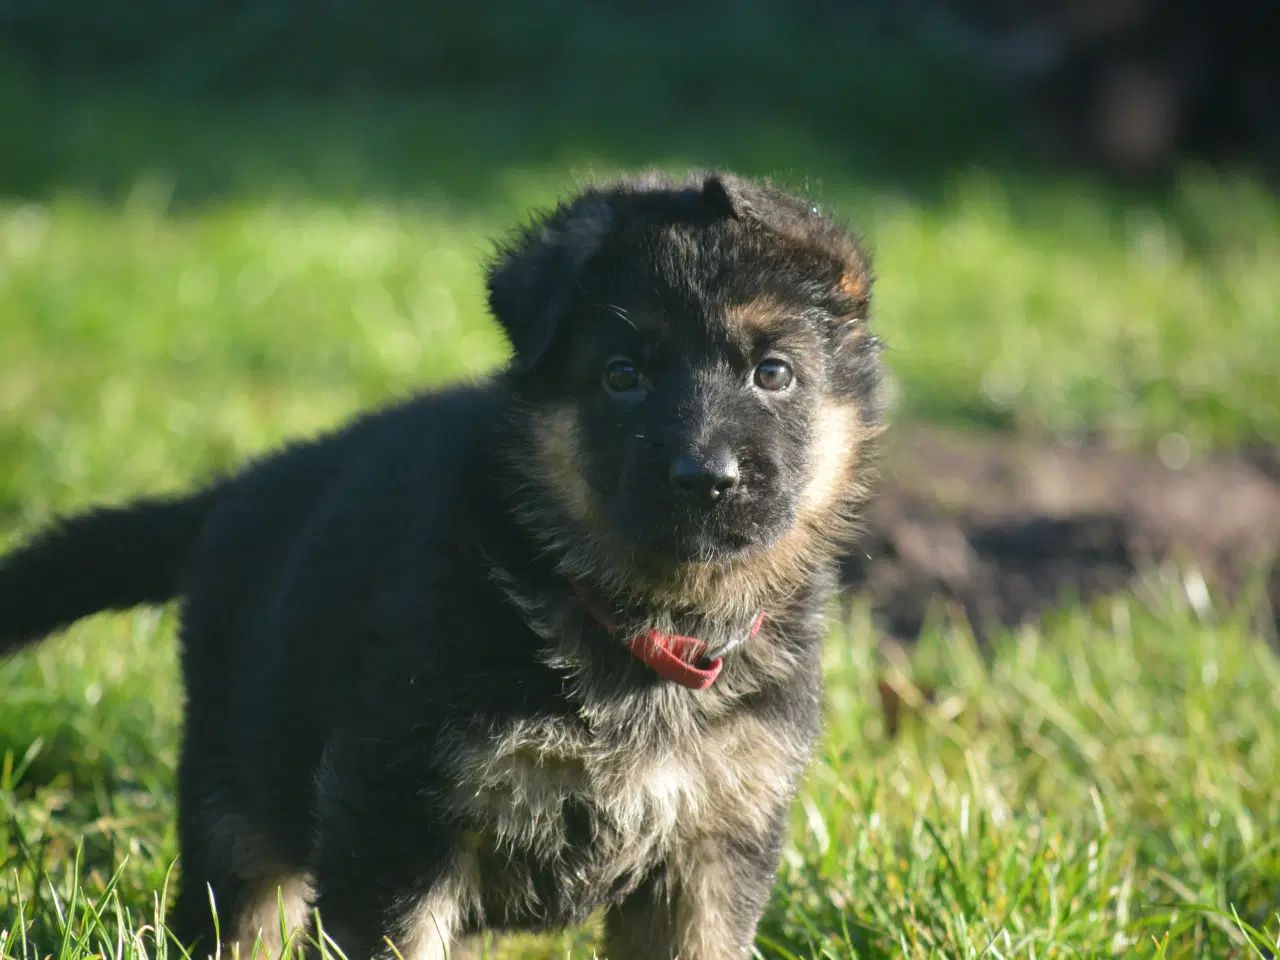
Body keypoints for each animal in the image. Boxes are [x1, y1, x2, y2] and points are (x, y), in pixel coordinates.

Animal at [0, 172, 885, 960]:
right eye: (622, 377)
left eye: (774, 373)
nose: (707, 477)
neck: (635, 620)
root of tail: (235, 491)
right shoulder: (397, 818)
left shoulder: (712, 853)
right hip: (241, 788)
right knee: (234, 909)